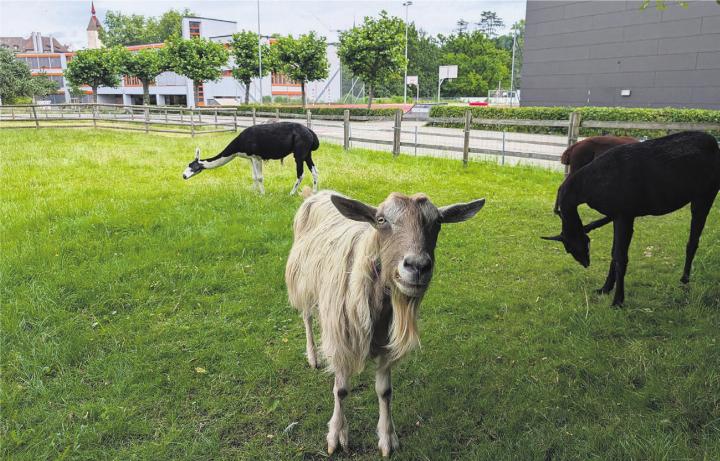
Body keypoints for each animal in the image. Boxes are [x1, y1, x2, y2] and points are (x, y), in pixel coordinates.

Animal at [286, 189, 484, 454]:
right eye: (381, 220)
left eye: (437, 222)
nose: (418, 266)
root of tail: (318, 193)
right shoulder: (342, 339)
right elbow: (341, 390)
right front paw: (336, 435)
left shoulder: (385, 345)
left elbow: (385, 391)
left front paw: (387, 438)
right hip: (302, 281)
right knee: (307, 316)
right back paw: (313, 356)